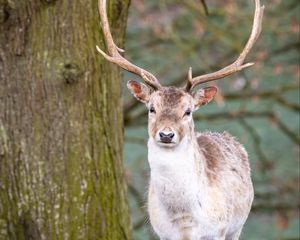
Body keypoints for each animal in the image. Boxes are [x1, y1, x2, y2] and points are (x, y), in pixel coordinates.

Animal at [95, 0, 262, 240]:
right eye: (151, 108)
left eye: (188, 111)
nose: (166, 134)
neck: (185, 222)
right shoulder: (162, 232)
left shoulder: (219, 230)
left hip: (237, 226)